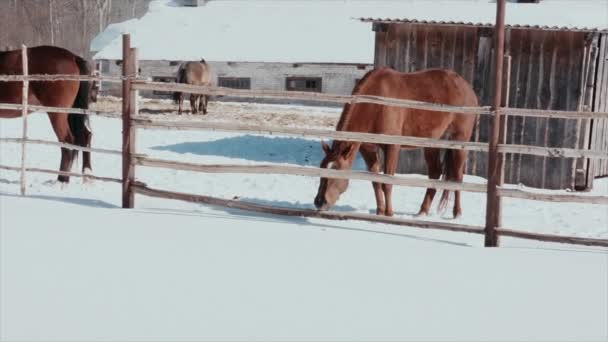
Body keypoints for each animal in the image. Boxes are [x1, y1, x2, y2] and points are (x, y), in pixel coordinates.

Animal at [0, 46, 94, 183]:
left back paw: (62, 181)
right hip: (71, 113)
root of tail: (72, 57)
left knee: (67, 142)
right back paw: (87, 175)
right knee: (86, 135)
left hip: (57, 114)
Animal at [314, 68, 480, 218]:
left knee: (457, 176)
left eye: (335, 170)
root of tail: (467, 88)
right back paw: (422, 212)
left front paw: (389, 213)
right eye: (322, 167)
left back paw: (457, 213)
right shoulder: (368, 149)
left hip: (460, 141)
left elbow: (387, 183)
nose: (319, 202)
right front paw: (380, 212)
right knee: (435, 172)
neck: (375, 103)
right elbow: (376, 182)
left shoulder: (392, 147)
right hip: (432, 143)